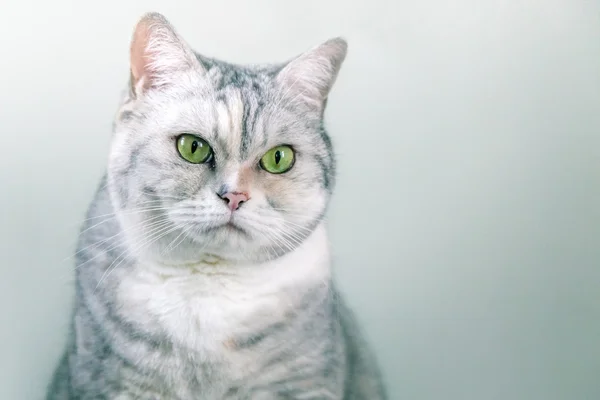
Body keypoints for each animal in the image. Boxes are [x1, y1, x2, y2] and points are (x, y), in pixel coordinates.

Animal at [47, 12, 386, 400]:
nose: (235, 196)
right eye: (192, 147)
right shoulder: (113, 381)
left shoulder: (302, 381)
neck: (207, 285)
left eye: (279, 158)